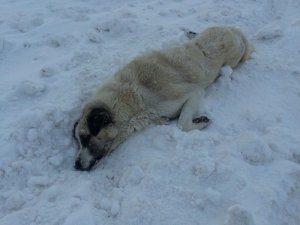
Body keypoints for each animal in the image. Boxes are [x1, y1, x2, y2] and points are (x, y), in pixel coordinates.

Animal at [72, 26, 253, 171]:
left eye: (86, 138)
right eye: (78, 142)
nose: (76, 165)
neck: (131, 98)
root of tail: (235, 31)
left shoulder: (193, 93)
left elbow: (182, 124)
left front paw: (200, 121)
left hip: (231, 60)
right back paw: (191, 34)